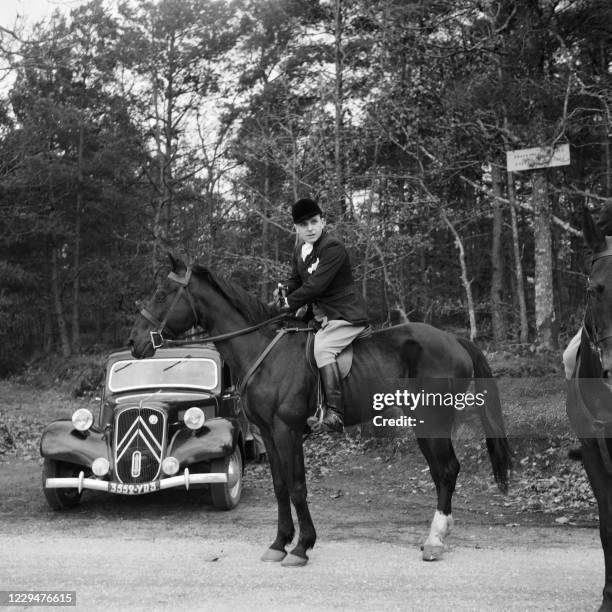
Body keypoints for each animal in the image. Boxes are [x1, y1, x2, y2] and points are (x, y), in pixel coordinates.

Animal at [129, 256, 512, 568]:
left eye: (163, 293)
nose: (135, 342)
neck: (262, 351)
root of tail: (455, 340)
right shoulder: (268, 433)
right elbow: (281, 486)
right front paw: (279, 543)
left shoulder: (286, 430)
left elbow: (297, 486)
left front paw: (302, 547)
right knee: (442, 470)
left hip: (431, 421)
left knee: (445, 470)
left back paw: (434, 539)